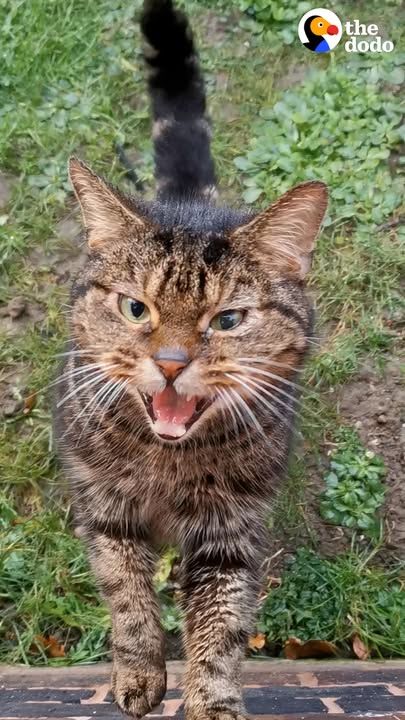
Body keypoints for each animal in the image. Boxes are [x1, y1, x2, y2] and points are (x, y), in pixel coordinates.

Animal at [53, 1, 326, 720]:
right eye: (135, 309)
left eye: (227, 320)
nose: (173, 362)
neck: (167, 464)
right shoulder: (105, 511)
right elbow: (127, 600)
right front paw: (139, 674)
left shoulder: (229, 533)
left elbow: (220, 629)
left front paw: (210, 703)